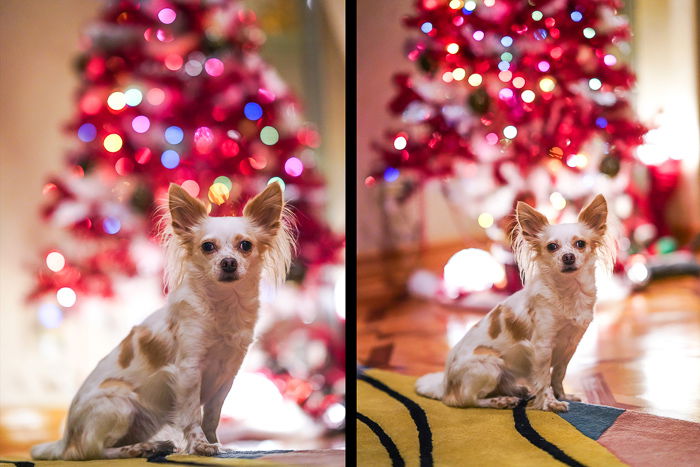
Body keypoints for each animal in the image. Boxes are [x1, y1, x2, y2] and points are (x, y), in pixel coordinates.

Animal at [32, 183, 296, 460]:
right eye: (207, 247)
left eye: (245, 245)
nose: (228, 262)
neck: (224, 306)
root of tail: (64, 441)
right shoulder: (188, 371)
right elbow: (192, 415)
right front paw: (200, 446)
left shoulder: (225, 377)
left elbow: (212, 417)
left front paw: (218, 445)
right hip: (119, 404)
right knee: (92, 451)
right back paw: (140, 448)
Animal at [416, 194, 612, 414]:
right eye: (552, 247)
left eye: (580, 244)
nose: (568, 257)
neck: (568, 292)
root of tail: (445, 384)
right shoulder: (542, 346)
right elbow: (544, 379)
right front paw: (550, 403)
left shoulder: (570, 346)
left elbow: (558, 375)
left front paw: (562, 395)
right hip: (490, 366)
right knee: (466, 400)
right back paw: (500, 401)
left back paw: (518, 390)